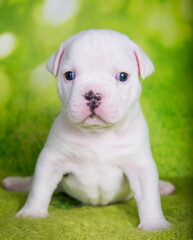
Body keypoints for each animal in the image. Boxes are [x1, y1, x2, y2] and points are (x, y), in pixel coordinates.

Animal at [2, 29, 175, 231]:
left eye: (122, 76)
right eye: (69, 75)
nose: (93, 95)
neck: (97, 134)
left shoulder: (140, 165)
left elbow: (149, 196)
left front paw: (155, 224)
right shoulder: (51, 160)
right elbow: (39, 187)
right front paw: (32, 213)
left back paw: (163, 186)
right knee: (32, 181)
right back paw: (15, 183)